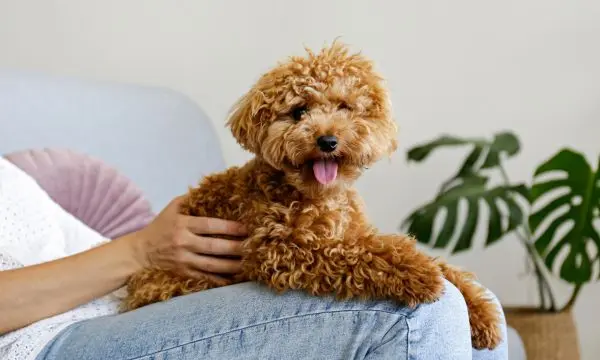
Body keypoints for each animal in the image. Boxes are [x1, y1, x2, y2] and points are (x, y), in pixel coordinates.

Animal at [123, 40, 502, 350]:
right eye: (298, 112)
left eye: (345, 107)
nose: (327, 141)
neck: (319, 196)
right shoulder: (280, 248)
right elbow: (358, 254)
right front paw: (417, 274)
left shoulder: (353, 230)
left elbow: (435, 263)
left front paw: (479, 311)